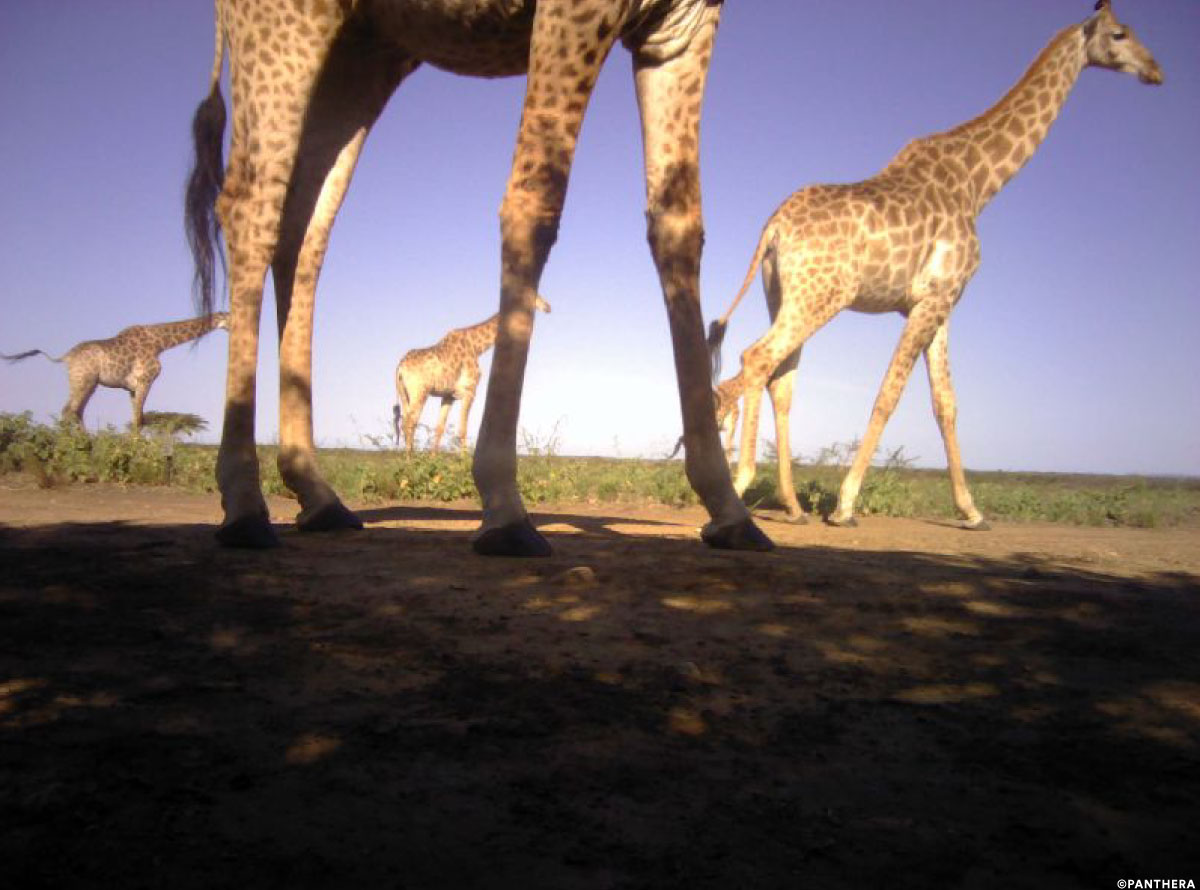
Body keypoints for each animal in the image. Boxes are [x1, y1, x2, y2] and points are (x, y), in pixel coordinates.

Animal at [3, 313, 230, 433]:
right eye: (229, 317)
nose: (232, 327)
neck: (160, 343)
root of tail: (66, 356)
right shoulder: (145, 381)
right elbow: (138, 419)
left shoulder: (131, 387)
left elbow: (137, 418)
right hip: (83, 380)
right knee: (70, 410)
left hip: (86, 383)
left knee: (75, 410)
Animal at [394, 295, 552, 455]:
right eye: (536, 295)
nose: (548, 307)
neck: (477, 347)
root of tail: (400, 368)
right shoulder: (469, 390)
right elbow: (463, 429)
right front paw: (464, 460)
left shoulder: (449, 395)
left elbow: (440, 428)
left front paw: (433, 458)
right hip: (420, 391)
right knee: (410, 421)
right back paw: (410, 458)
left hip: (404, 393)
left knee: (405, 421)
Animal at [707, 0, 1162, 528]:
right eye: (1121, 33)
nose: (1155, 70)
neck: (979, 183)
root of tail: (774, 226)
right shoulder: (936, 297)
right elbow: (888, 394)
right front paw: (845, 505)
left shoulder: (938, 304)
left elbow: (946, 404)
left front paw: (971, 511)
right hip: (821, 295)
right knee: (757, 358)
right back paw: (742, 488)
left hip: (783, 294)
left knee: (780, 377)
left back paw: (791, 504)